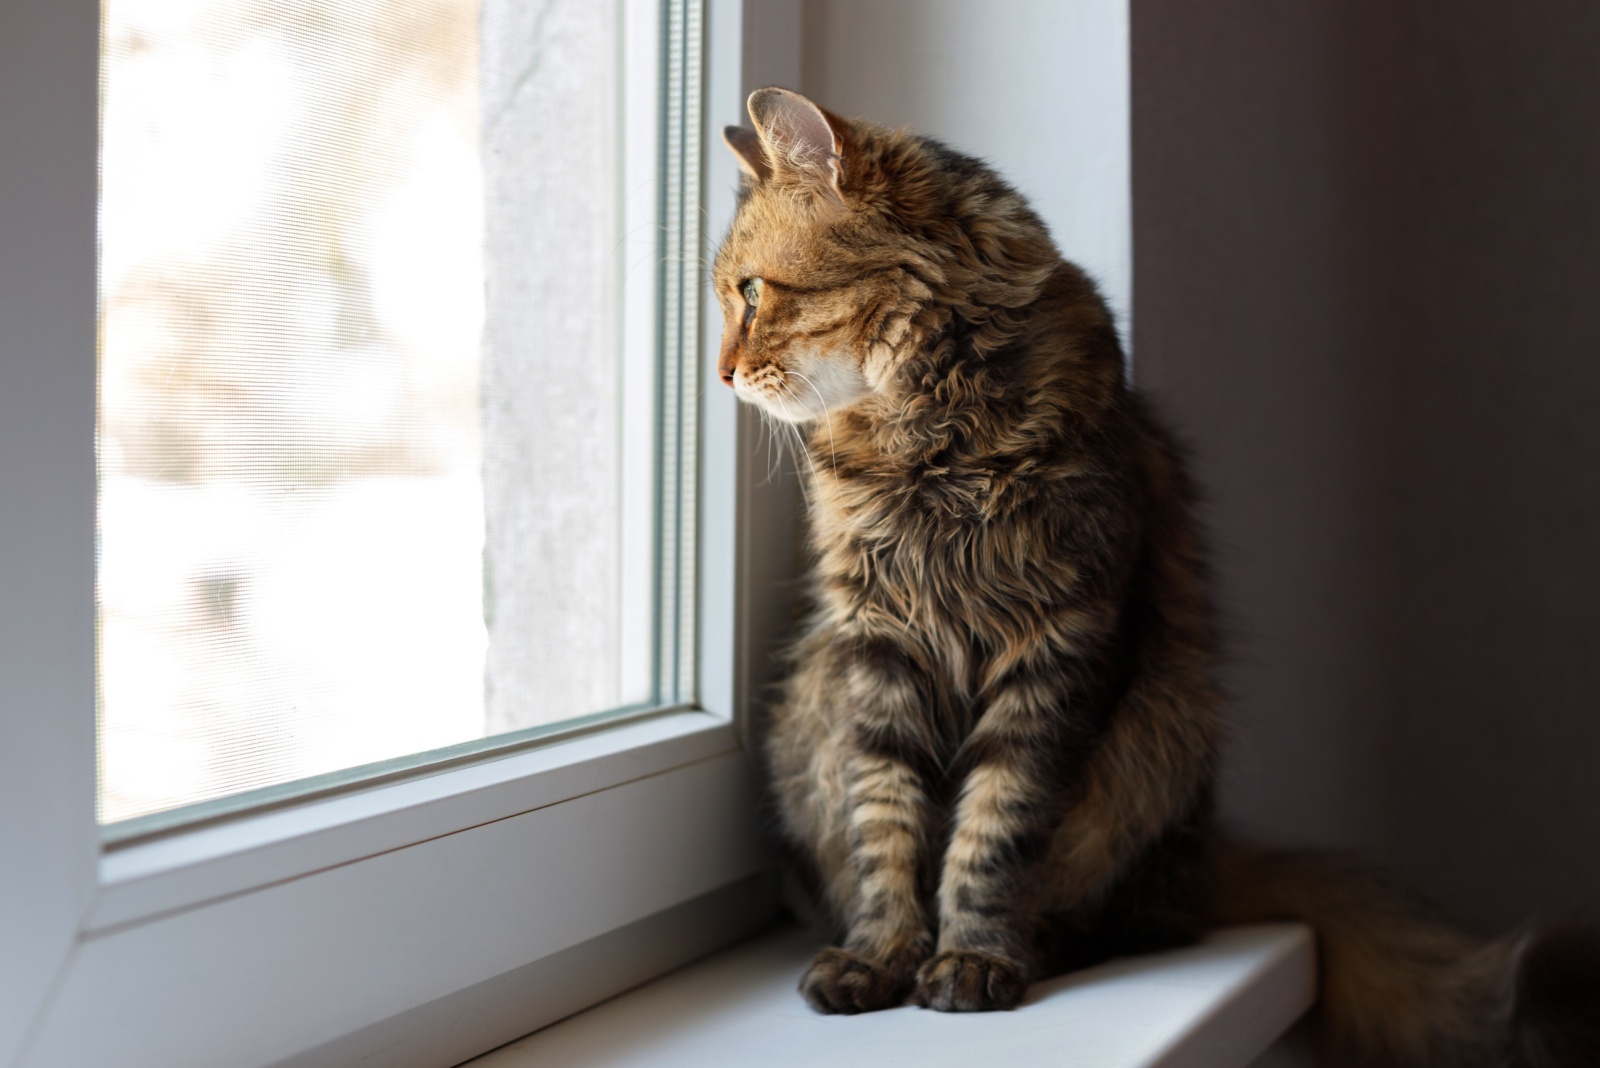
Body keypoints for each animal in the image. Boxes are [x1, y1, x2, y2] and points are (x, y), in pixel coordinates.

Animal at [716, 85, 1600, 1068]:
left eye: (751, 291)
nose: (720, 374)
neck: (927, 433)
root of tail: (1204, 854)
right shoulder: (876, 648)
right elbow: (888, 829)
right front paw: (881, 957)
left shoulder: (1057, 643)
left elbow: (990, 833)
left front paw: (973, 957)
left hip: (1162, 730)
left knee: (1135, 916)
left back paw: (1049, 942)